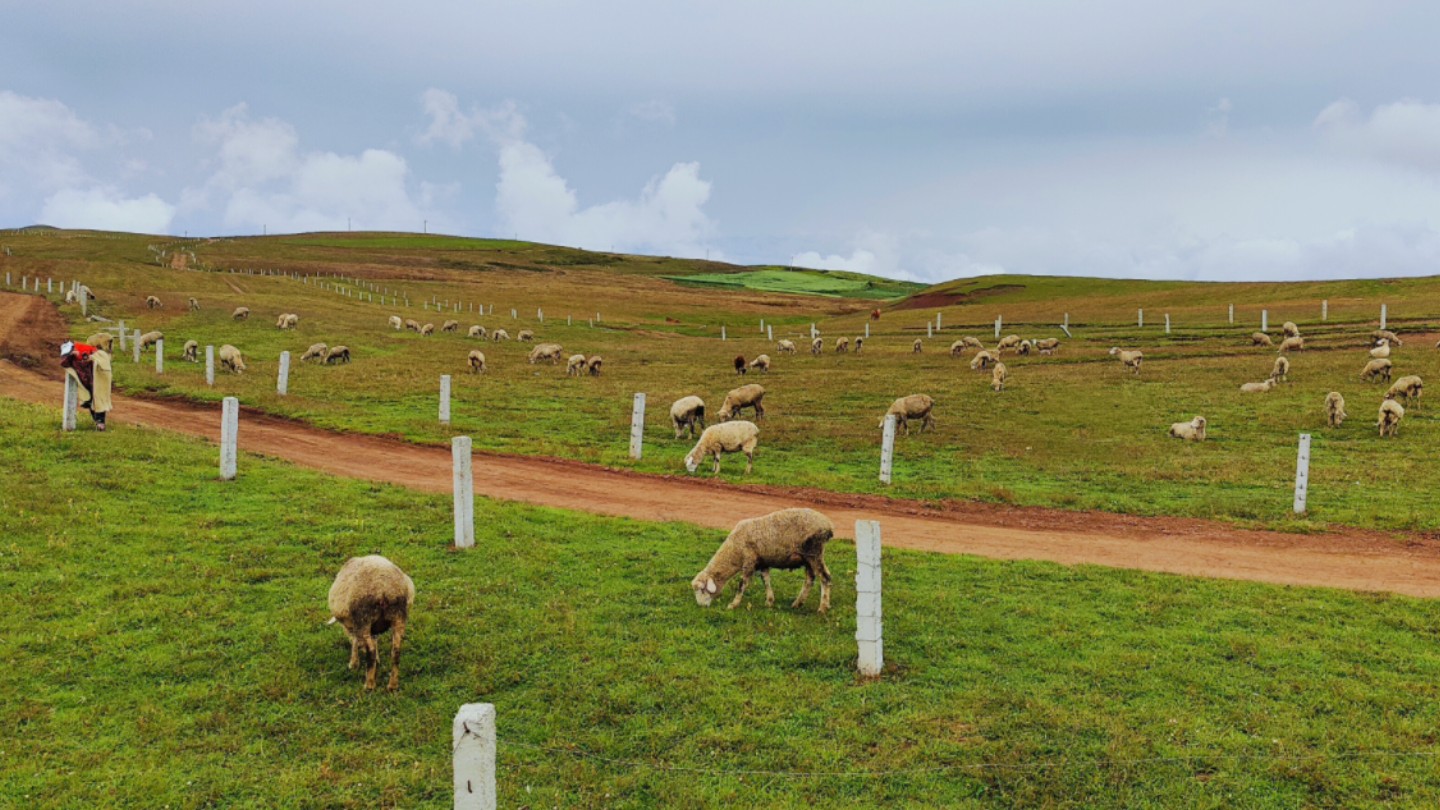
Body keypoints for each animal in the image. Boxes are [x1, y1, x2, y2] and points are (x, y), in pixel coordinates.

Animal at [328, 550, 414, 691]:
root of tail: (384, 589)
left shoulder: (355, 625)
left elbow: (355, 641)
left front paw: (353, 663)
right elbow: (374, 640)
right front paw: (376, 661)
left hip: (364, 617)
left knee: (371, 651)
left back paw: (369, 684)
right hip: (399, 616)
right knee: (396, 651)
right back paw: (392, 685)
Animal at [691, 504, 840, 611]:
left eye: (702, 590)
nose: (701, 606)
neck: (734, 550)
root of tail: (828, 525)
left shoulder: (749, 560)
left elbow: (742, 584)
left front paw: (733, 604)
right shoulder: (762, 562)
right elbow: (766, 581)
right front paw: (769, 601)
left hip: (814, 552)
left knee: (825, 578)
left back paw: (822, 608)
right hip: (808, 557)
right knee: (810, 579)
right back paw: (797, 603)